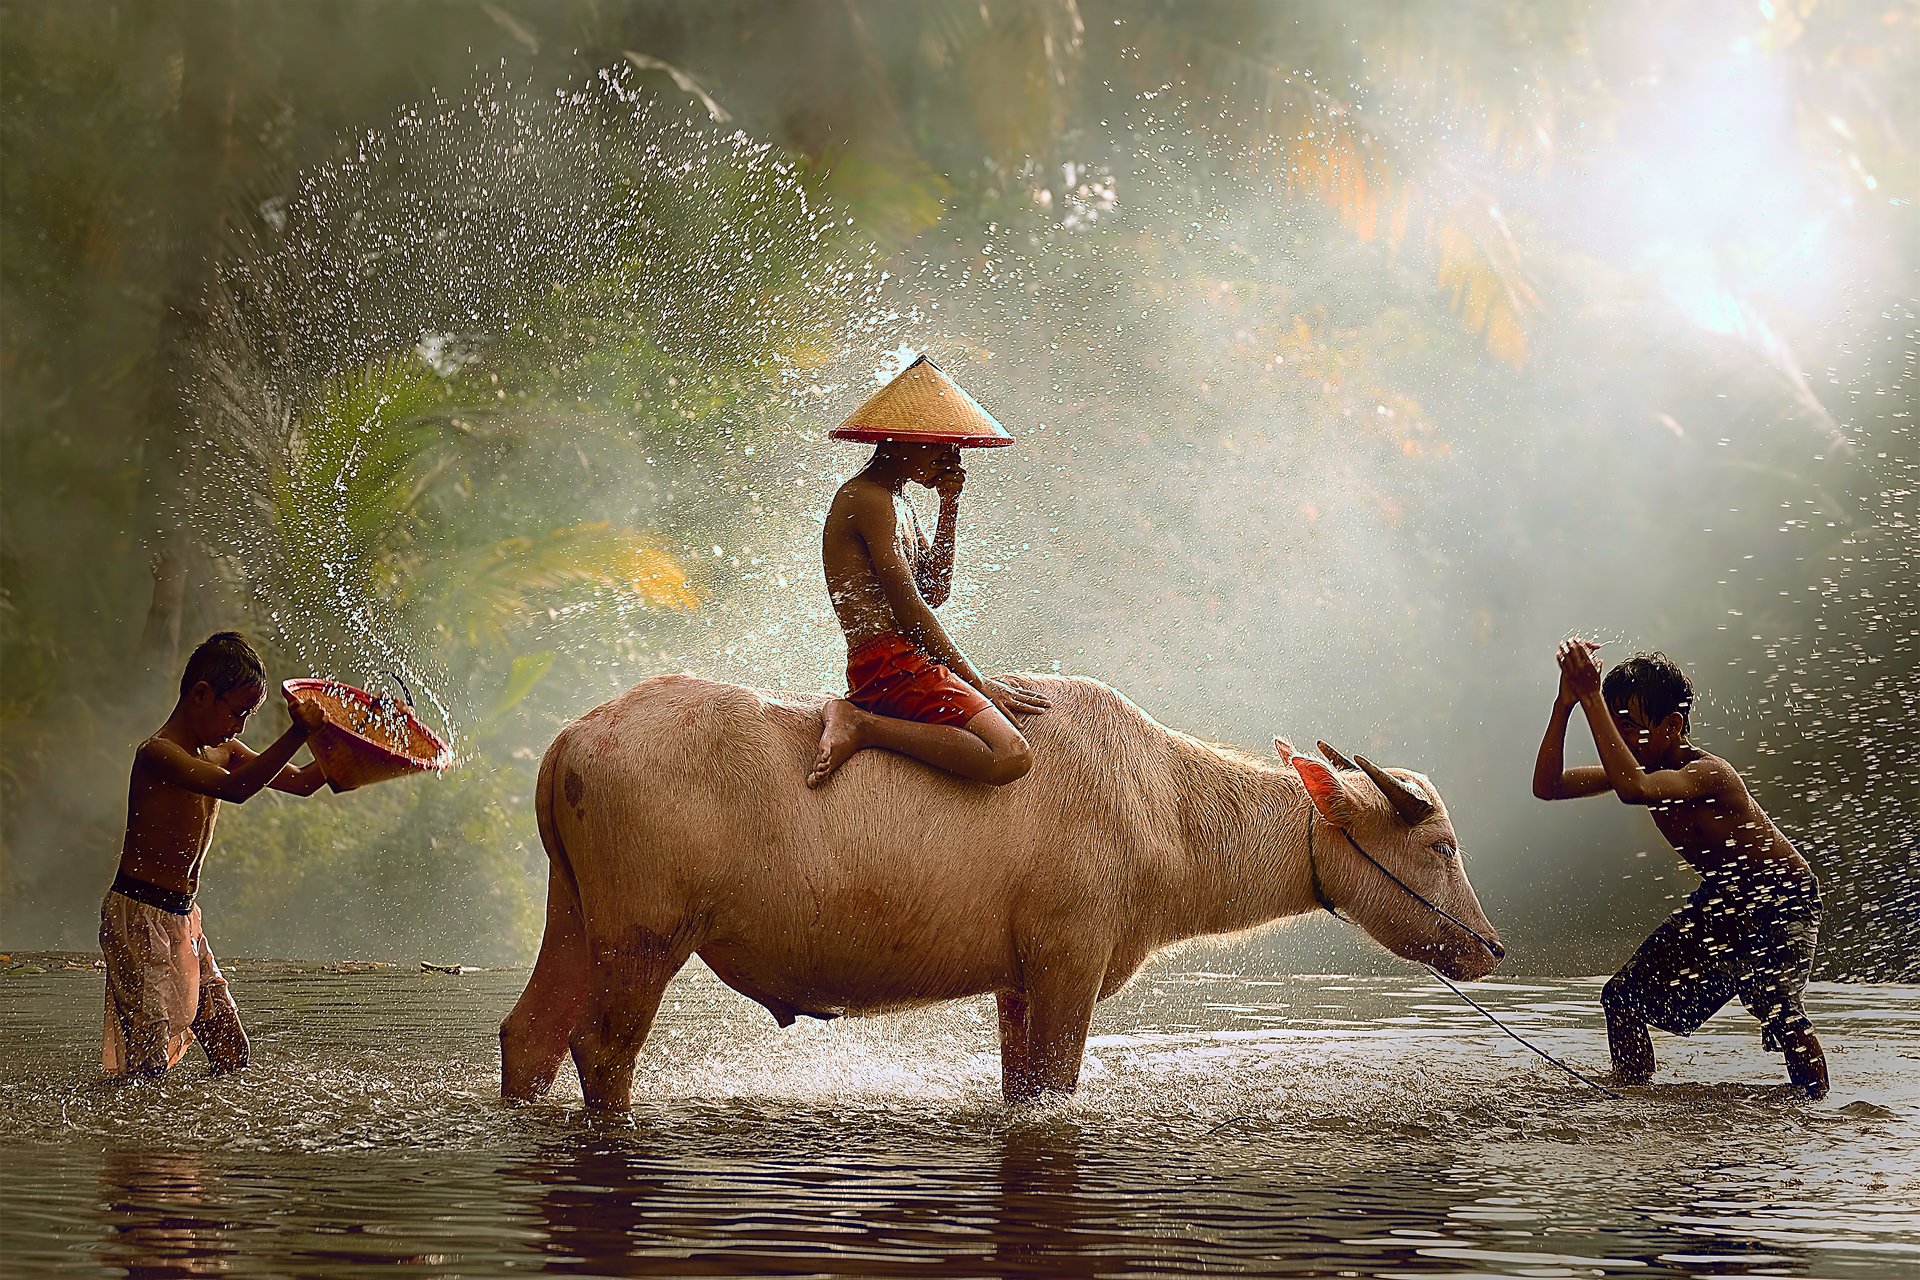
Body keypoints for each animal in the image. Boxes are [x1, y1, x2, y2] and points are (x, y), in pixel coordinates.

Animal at [500, 673, 1503, 1110]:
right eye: (1442, 844)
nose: (1490, 947)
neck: (1171, 815)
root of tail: (572, 741)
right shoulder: (1069, 955)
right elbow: (1056, 1088)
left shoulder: (1017, 979)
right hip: (645, 934)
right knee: (600, 1047)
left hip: (573, 914)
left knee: (531, 1036)